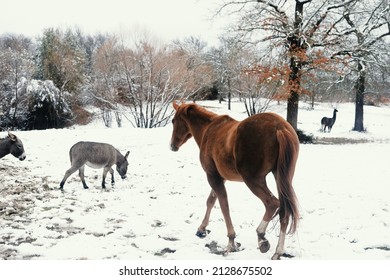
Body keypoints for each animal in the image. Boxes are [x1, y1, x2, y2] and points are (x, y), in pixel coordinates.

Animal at [169, 101, 300, 260]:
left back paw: (261, 237)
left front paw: (231, 241)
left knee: (272, 203)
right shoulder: (220, 178)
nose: (172, 145)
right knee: (284, 211)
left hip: (253, 180)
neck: (208, 129)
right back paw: (278, 251)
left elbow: (224, 205)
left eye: (173, 121)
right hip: (281, 178)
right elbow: (211, 201)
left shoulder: (212, 176)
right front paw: (202, 228)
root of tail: (279, 128)